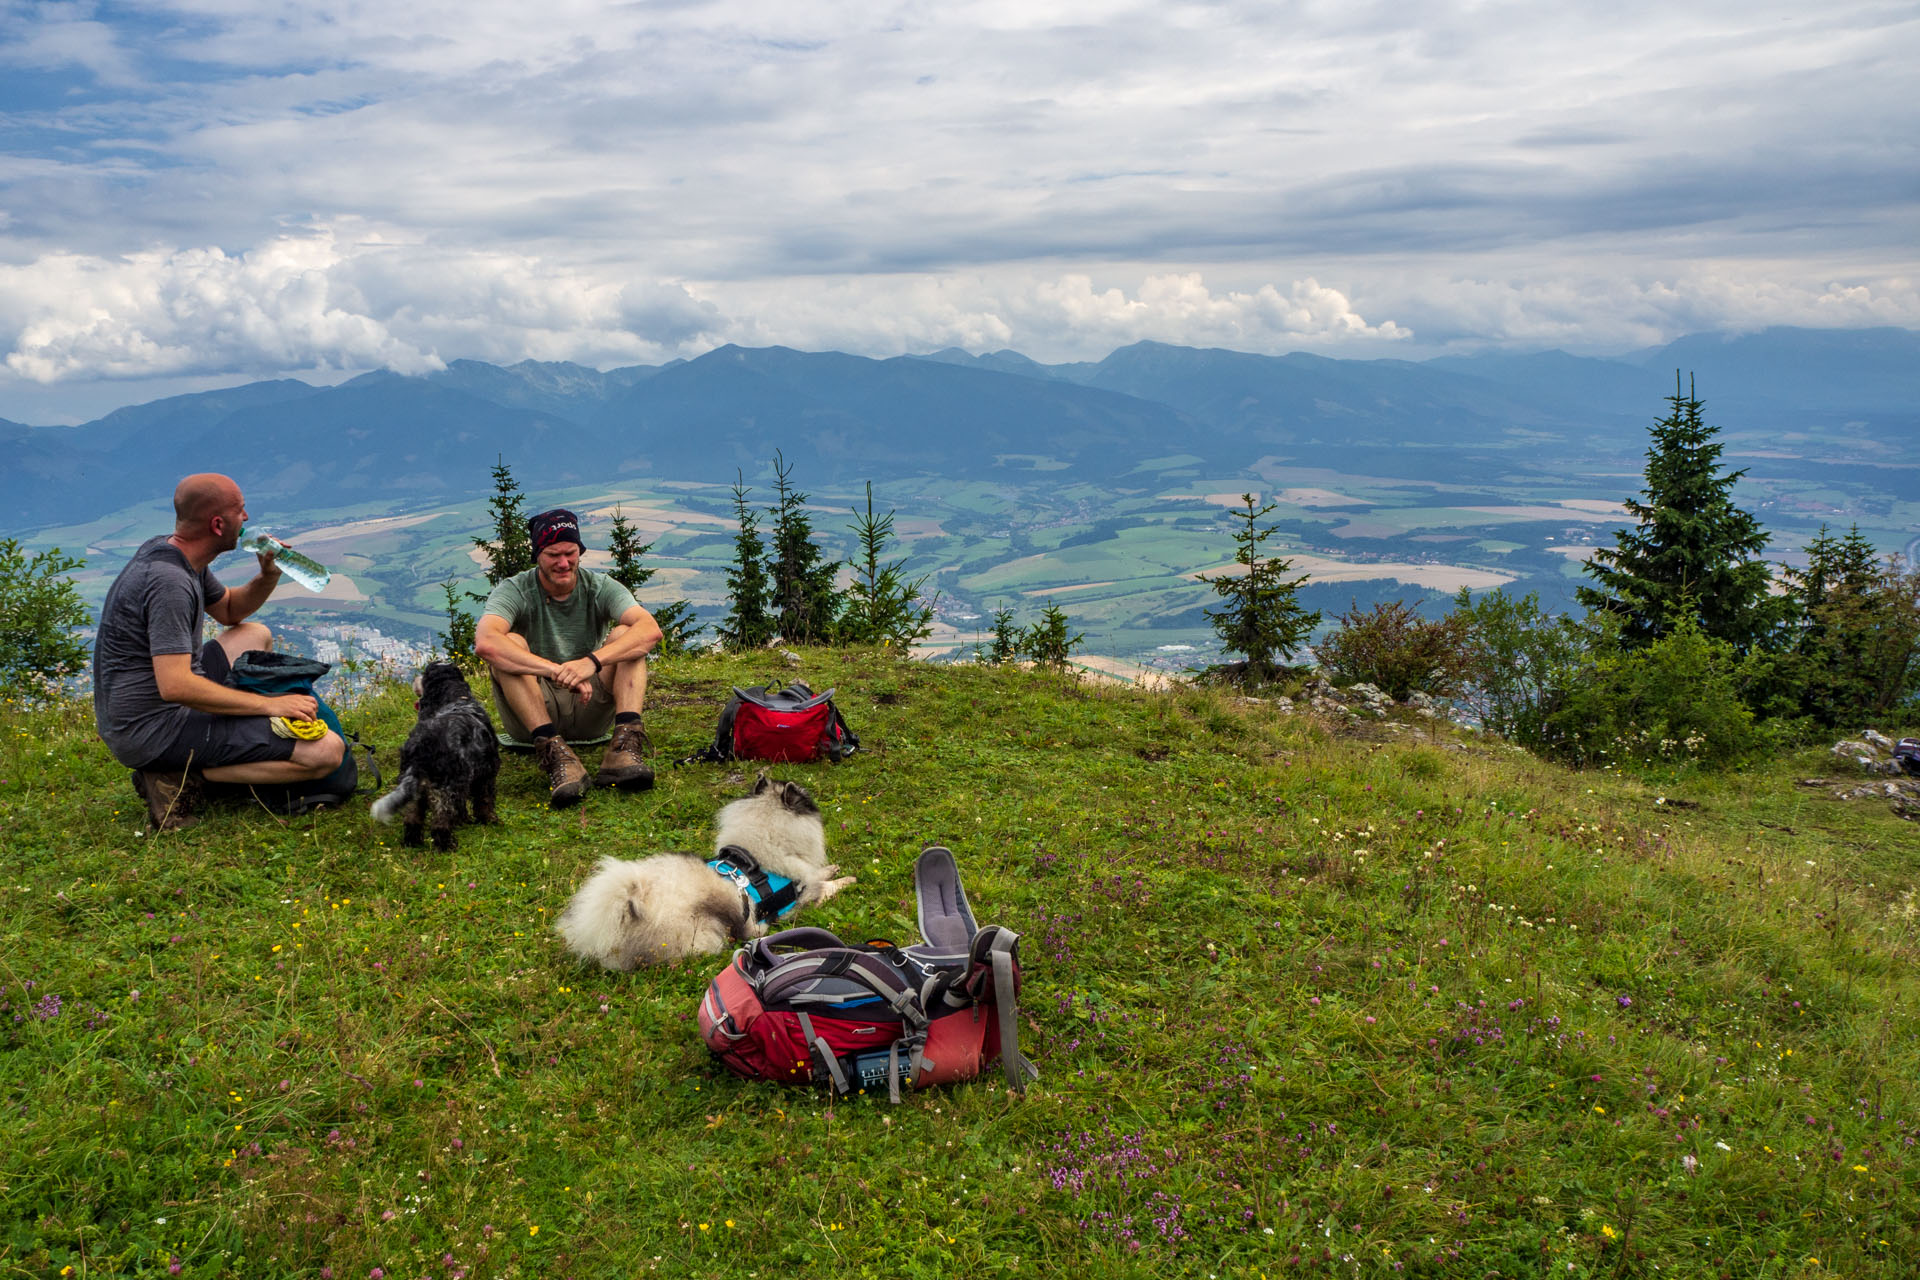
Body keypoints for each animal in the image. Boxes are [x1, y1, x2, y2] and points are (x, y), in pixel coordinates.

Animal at [370, 660, 499, 852]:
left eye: (425, 673)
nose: (415, 679)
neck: (457, 699)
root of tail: (420, 749)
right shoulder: (485, 773)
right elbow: (485, 800)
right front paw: (489, 820)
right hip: (444, 787)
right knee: (440, 821)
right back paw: (447, 845)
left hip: (415, 787)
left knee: (412, 817)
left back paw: (412, 841)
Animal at [556, 771, 856, 971]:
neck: (755, 854)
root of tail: (626, 911)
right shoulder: (799, 900)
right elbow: (825, 888)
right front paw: (848, 880)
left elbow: (821, 873)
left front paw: (832, 868)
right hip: (706, 932)